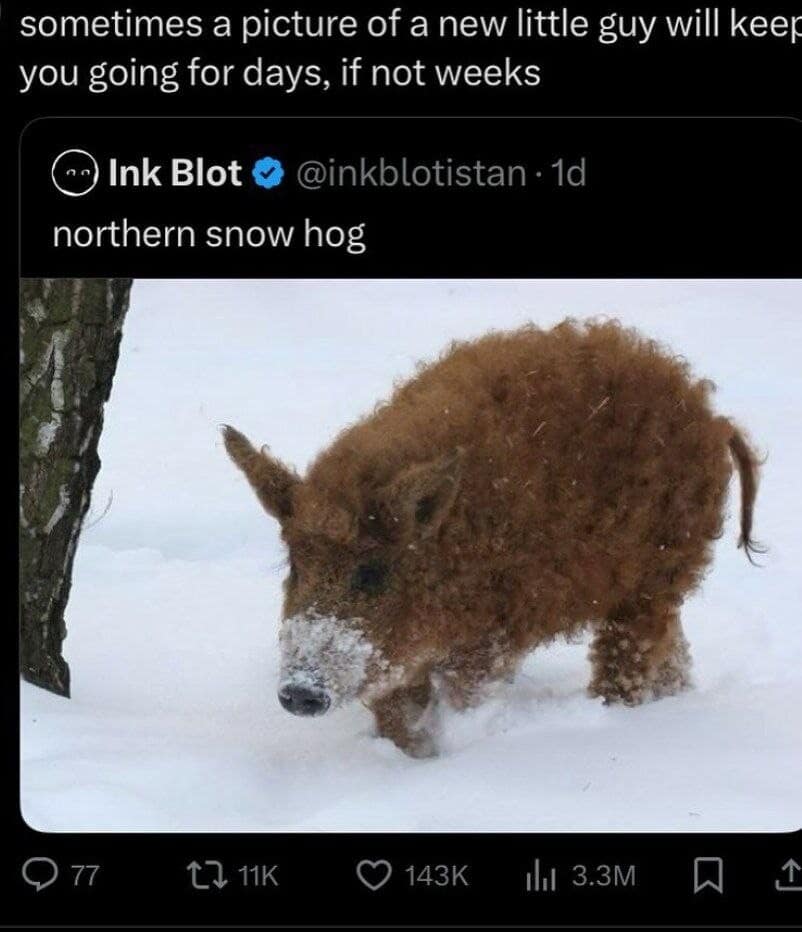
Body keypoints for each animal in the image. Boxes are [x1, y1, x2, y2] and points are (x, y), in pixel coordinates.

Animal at [223, 319, 762, 757]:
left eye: (372, 574)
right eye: (295, 566)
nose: (299, 694)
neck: (442, 557)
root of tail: (713, 417)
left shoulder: (488, 640)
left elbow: (464, 700)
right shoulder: (400, 657)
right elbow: (398, 717)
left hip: (652, 580)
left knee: (630, 662)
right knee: (674, 655)